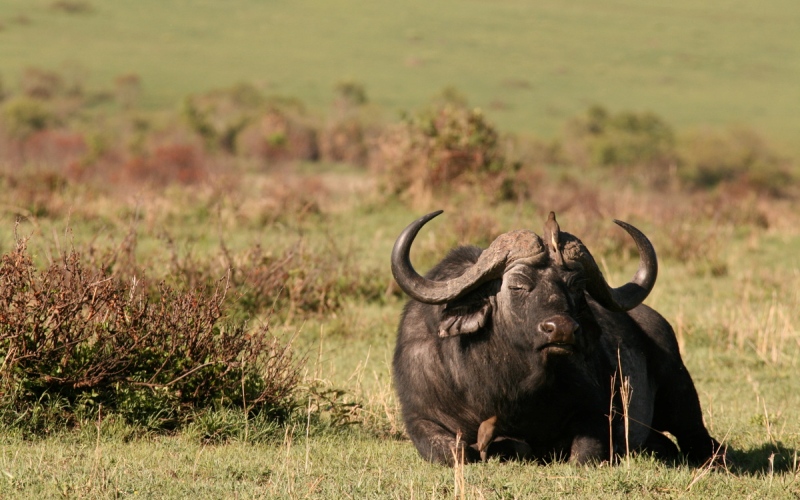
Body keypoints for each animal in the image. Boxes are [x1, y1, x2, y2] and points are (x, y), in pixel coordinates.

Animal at [390, 210, 720, 464]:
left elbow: (583, 455)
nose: (561, 329)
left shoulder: (596, 414)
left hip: (680, 396)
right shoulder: (420, 418)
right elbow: (455, 453)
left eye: (576, 286)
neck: (506, 384)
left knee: (700, 439)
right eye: (518, 285)